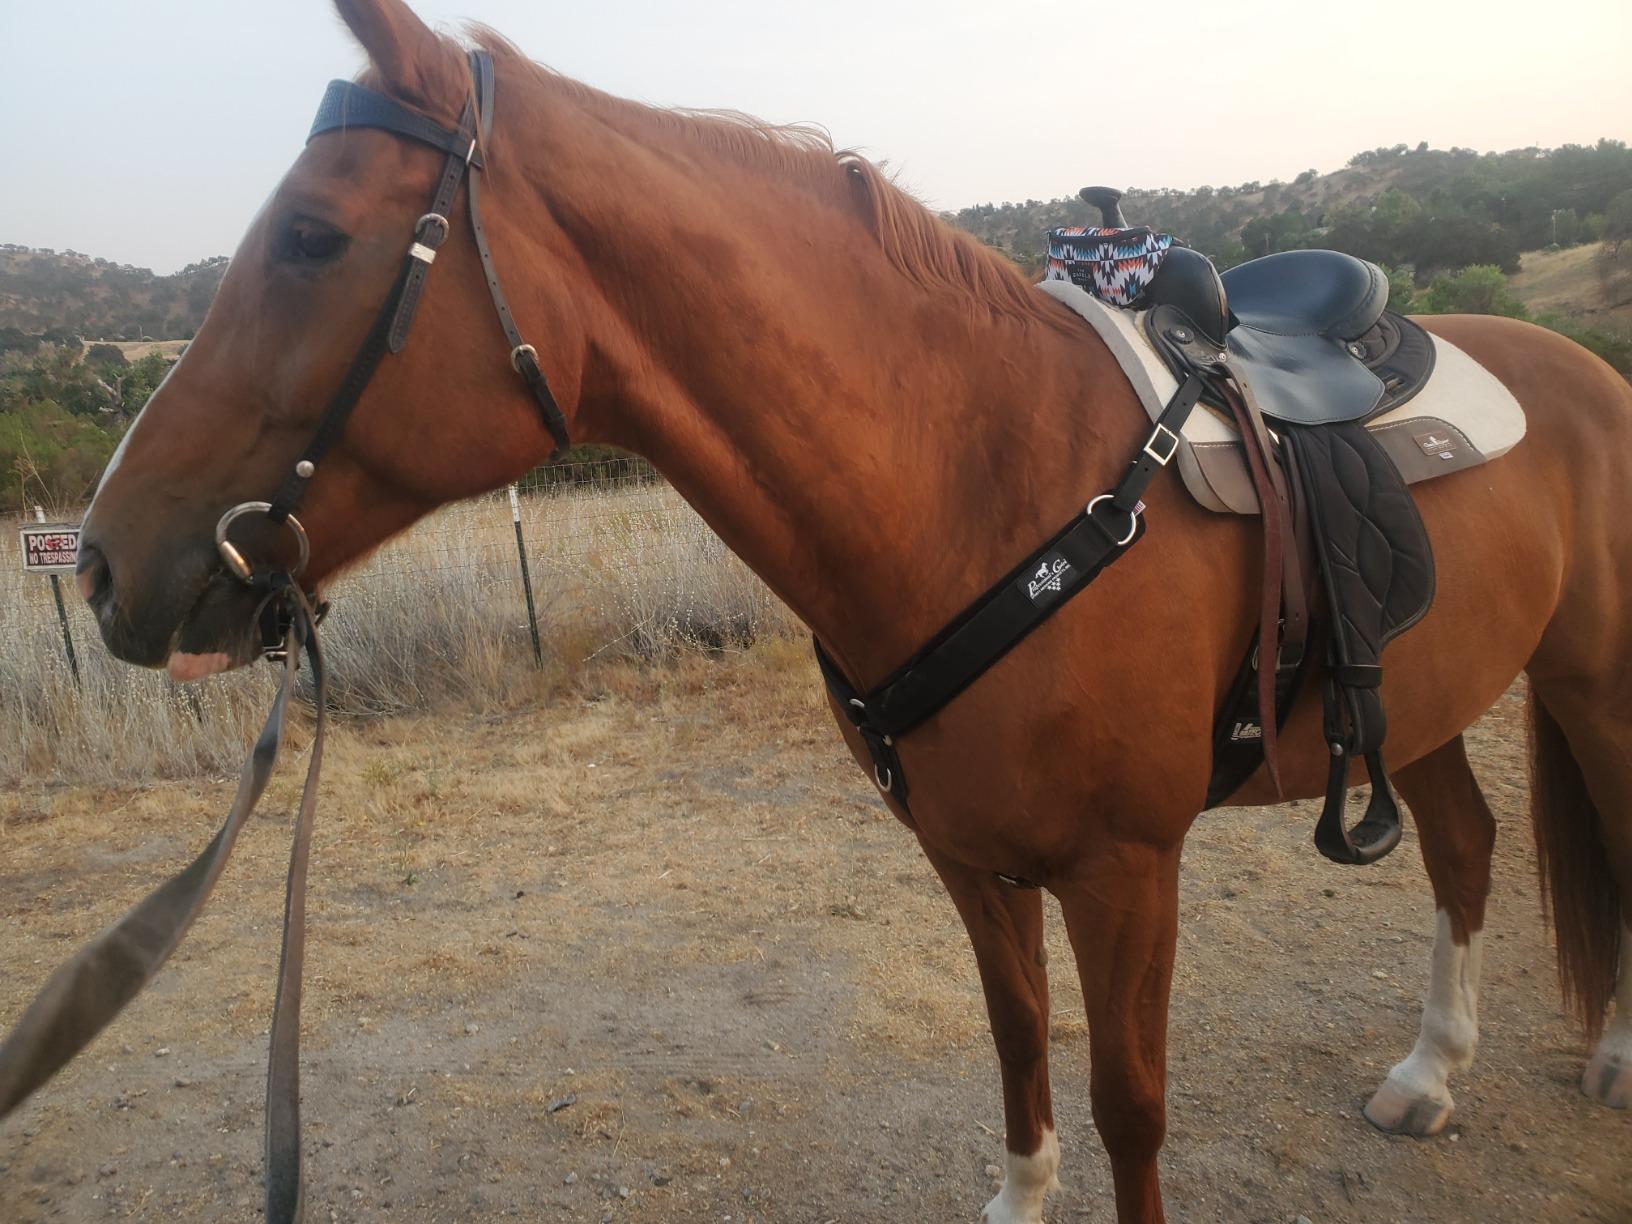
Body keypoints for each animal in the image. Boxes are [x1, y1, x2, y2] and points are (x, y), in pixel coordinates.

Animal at [66, 1, 1632, 1219]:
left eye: (315, 237)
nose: (102, 567)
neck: (982, 481)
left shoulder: (1127, 871)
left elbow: (1130, 1103)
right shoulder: (970, 860)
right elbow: (1017, 1043)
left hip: (1590, 685)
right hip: (1425, 701)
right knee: (1469, 849)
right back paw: (1429, 1075)